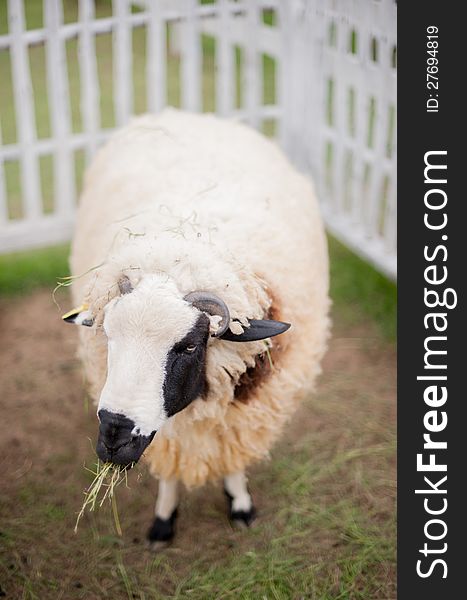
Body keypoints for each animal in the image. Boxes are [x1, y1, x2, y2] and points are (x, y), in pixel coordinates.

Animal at [66, 106, 330, 544]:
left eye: (190, 346)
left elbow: (233, 459)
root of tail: (188, 114)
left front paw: (240, 505)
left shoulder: (241, 416)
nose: (114, 438)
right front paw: (163, 521)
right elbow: (170, 473)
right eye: (108, 336)